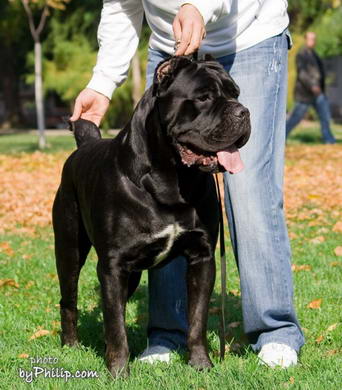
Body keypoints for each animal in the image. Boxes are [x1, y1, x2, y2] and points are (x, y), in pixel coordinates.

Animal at [53, 55, 251, 378]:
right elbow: (115, 324)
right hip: (70, 250)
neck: (173, 178)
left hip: (130, 274)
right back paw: (70, 345)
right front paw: (118, 372)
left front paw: (201, 364)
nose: (243, 111)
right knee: (69, 300)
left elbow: (197, 319)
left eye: (235, 93)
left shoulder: (202, 258)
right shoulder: (113, 266)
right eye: (203, 97)